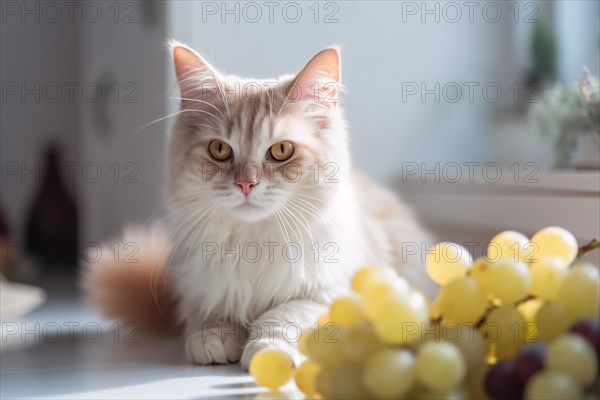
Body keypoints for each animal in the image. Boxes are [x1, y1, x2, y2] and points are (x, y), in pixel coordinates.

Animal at [82, 43, 434, 368]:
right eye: (219, 150)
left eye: (281, 150)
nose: (246, 184)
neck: (252, 242)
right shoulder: (199, 287)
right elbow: (208, 315)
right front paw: (214, 340)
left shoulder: (330, 292)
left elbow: (284, 315)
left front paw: (268, 352)